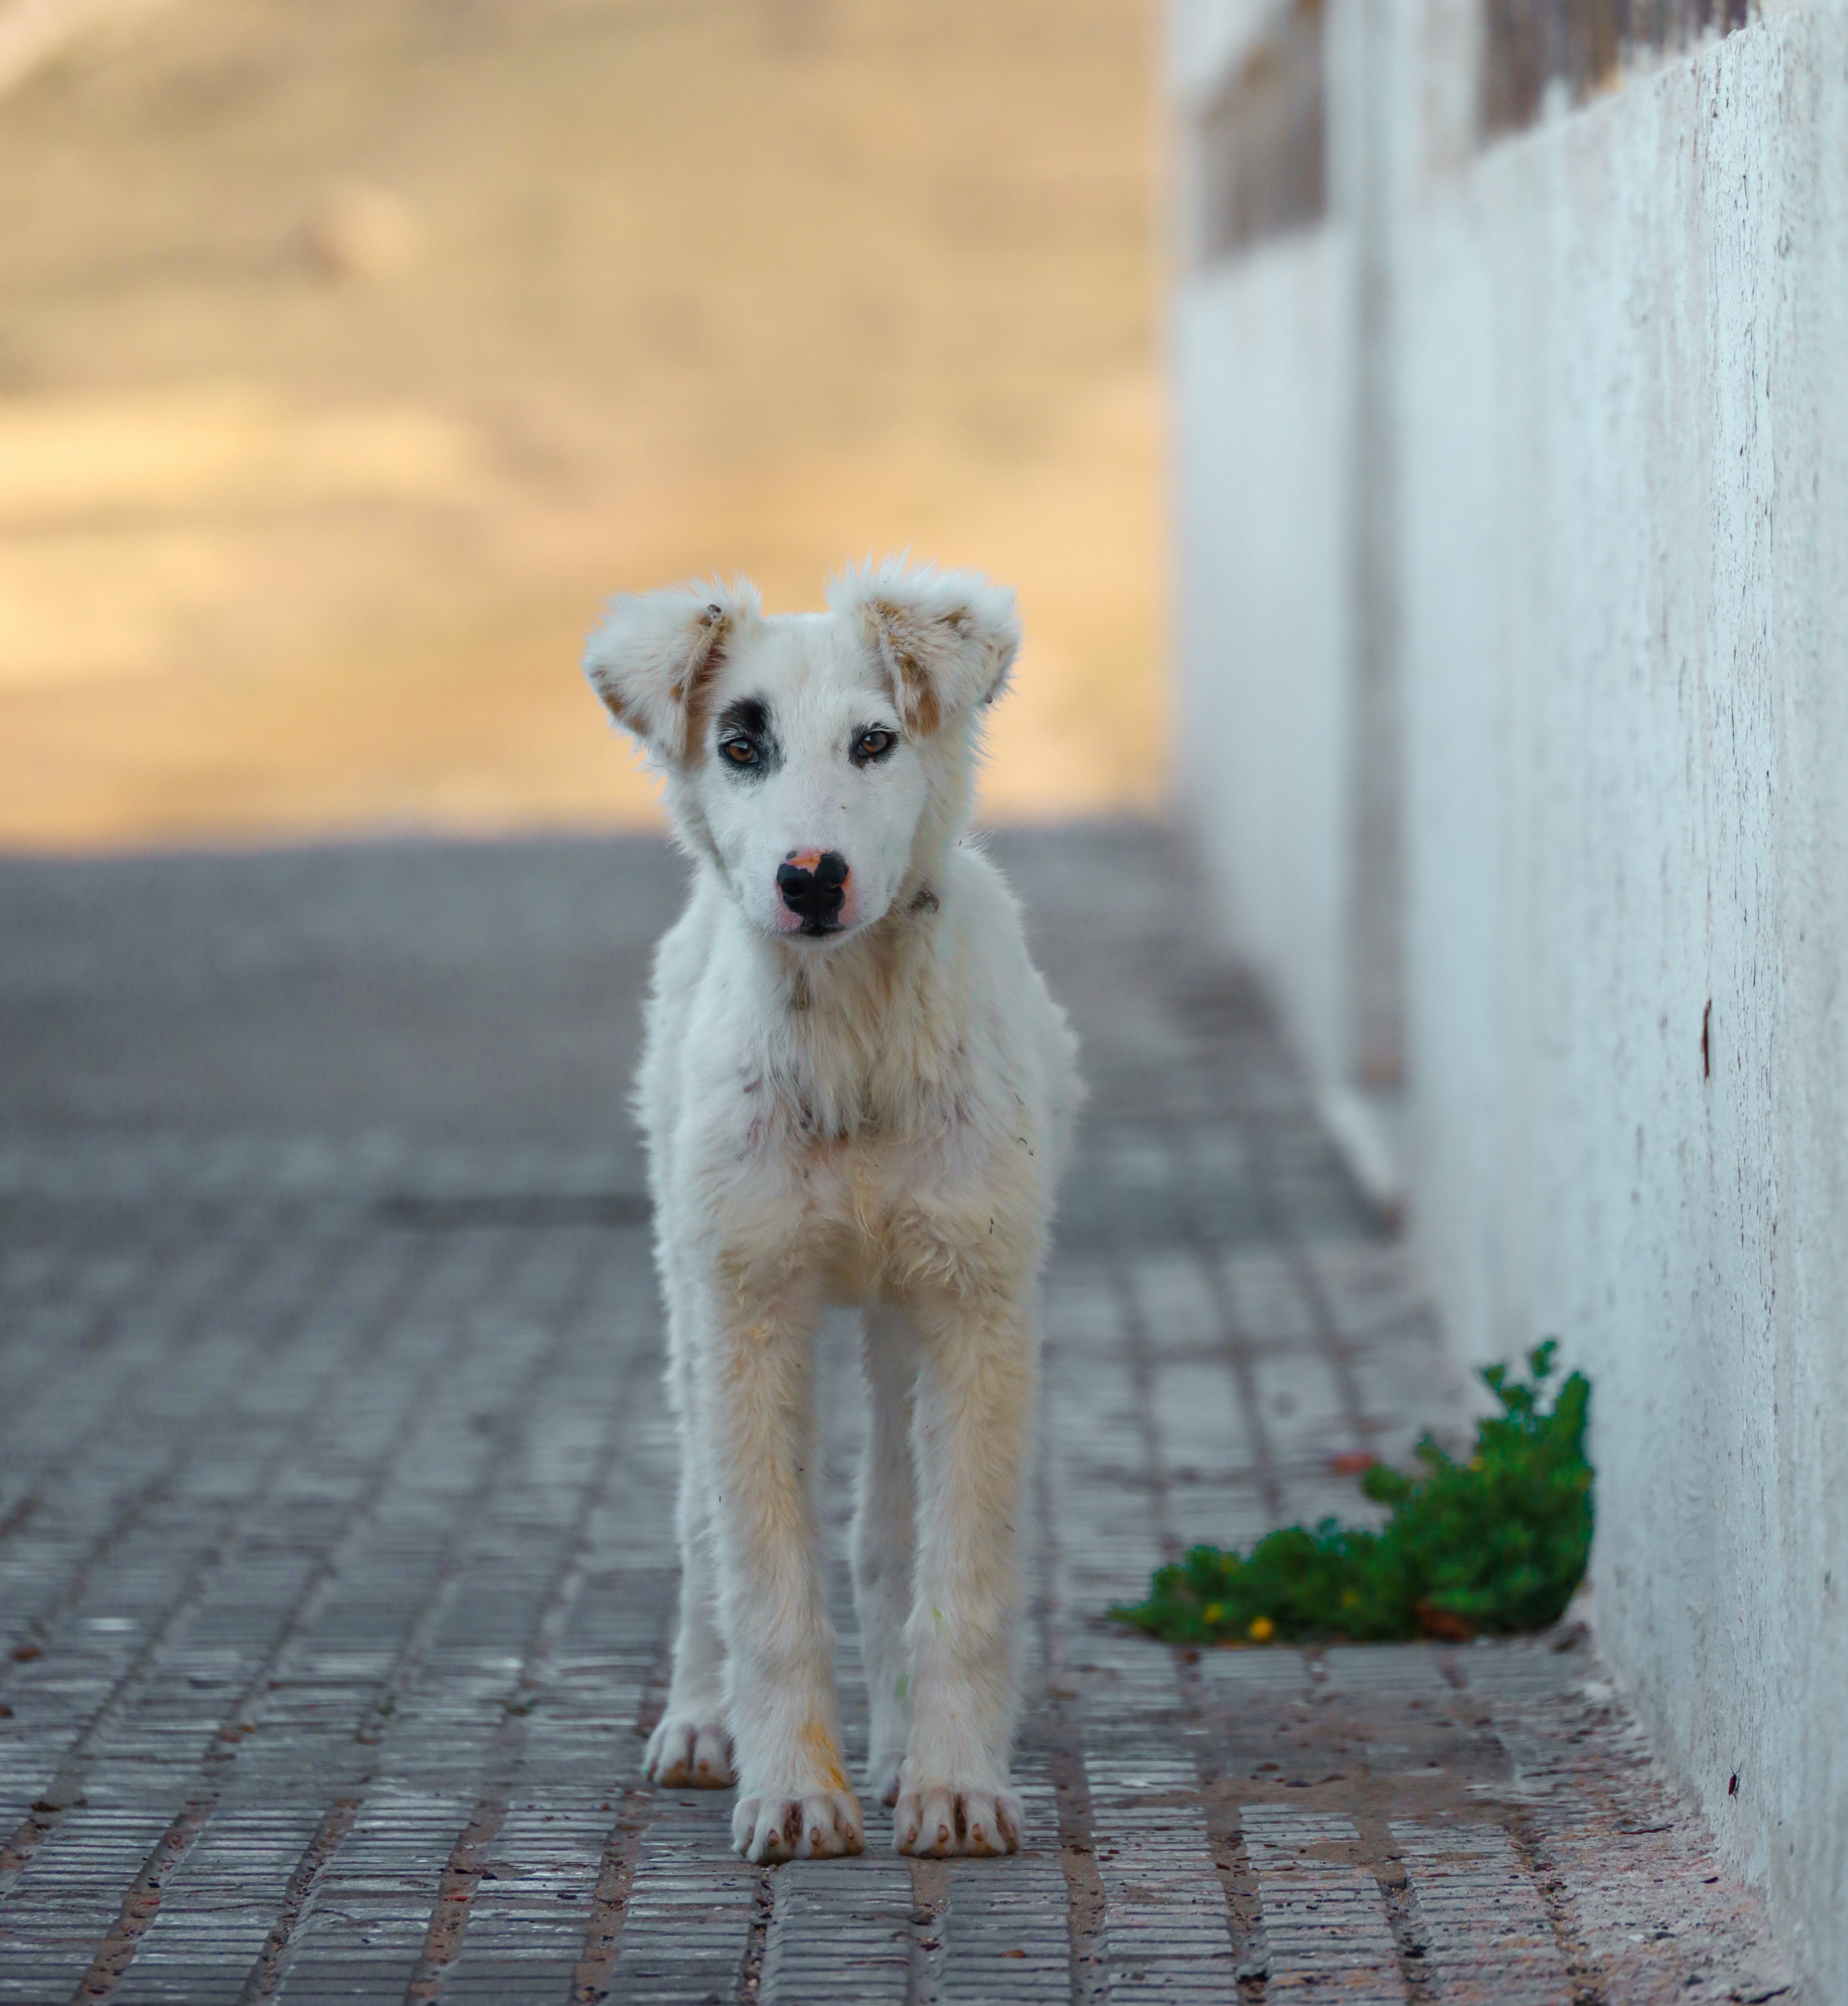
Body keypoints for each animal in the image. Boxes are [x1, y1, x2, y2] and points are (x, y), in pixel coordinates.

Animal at [586, 554, 1083, 1861]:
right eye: (739, 745)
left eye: (874, 740)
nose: (809, 878)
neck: (855, 1032)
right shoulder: (750, 1300)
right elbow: (762, 1575)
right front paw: (794, 1790)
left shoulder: (973, 1299)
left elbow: (955, 1574)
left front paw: (954, 1784)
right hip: (689, 1286)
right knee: (700, 1529)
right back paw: (701, 1719)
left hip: (896, 1314)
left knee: (884, 1535)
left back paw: (902, 1747)